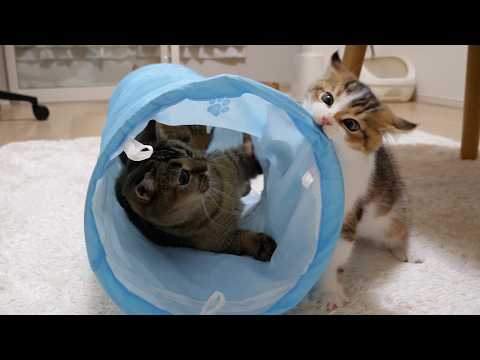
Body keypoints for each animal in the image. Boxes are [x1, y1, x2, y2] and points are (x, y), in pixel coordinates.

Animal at [115, 121, 278, 262]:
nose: (205, 166)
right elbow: (244, 240)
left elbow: (249, 158)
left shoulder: (234, 162)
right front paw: (265, 247)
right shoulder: (221, 242)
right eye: (183, 177)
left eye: (189, 153)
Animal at [306, 52, 418, 310]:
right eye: (327, 98)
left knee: (401, 231)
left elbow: (334, 253)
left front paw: (329, 293)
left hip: (392, 217)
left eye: (351, 124)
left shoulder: (347, 212)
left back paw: (406, 252)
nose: (326, 119)